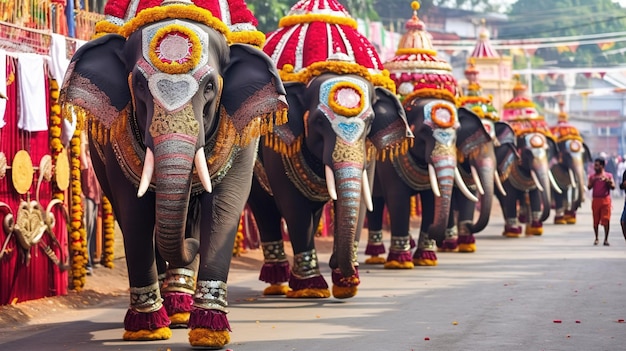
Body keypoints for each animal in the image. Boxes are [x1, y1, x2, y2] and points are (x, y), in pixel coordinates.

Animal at [58, 2, 288, 350]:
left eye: (210, 87)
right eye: (140, 85)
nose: (191, 244)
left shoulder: (242, 135)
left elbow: (224, 207)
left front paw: (210, 332)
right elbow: (135, 211)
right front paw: (147, 329)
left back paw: (181, 308)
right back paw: (170, 310)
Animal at [246, 0, 412, 302]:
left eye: (370, 122)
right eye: (319, 123)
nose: (335, 261)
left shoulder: (369, 152)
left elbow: (361, 200)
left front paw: (347, 286)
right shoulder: (280, 145)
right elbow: (292, 205)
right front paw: (311, 289)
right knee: (265, 208)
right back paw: (277, 286)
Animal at [494, 79, 560, 238]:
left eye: (547, 151)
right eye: (527, 153)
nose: (543, 218)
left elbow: (535, 194)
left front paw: (536, 230)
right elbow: (509, 196)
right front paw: (514, 232)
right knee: (503, 199)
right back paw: (510, 230)